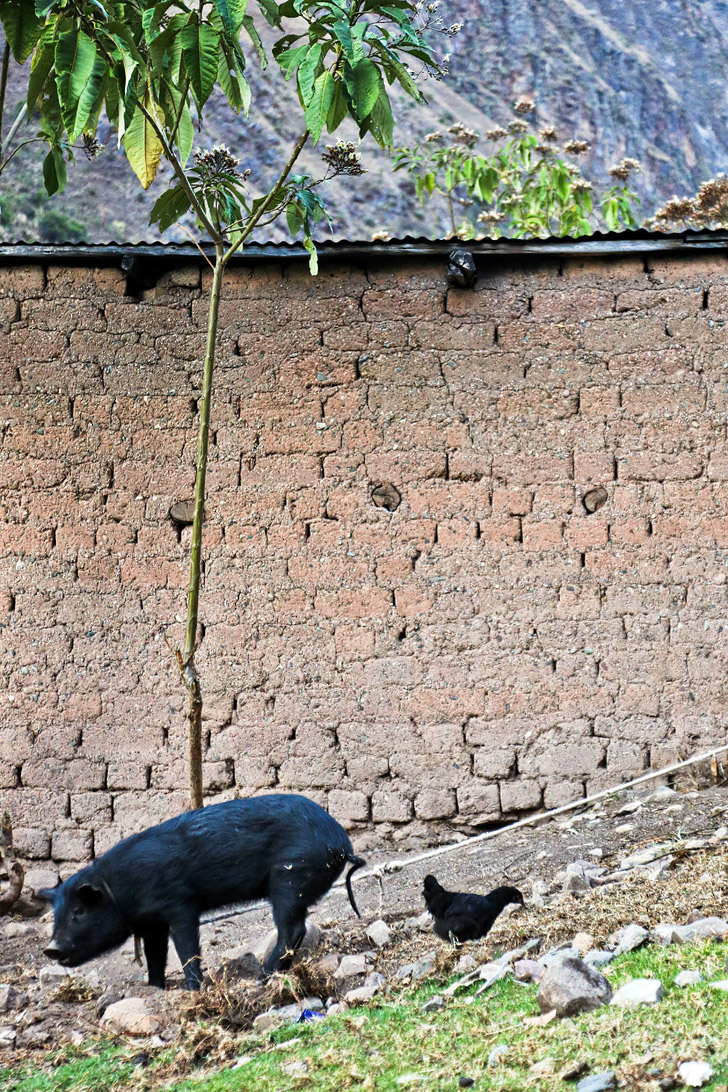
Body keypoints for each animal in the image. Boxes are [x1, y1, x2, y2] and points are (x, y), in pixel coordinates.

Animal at [41, 794, 364, 991]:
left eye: (79, 911)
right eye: (56, 915)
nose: (51, 949)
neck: (118, 888)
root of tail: (342, 844)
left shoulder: (179, 903)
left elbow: (186, 947)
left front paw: (193, 988)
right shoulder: (152, 923)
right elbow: (155, 956)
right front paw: (155, 988)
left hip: (290, 877)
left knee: (292, 929)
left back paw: (261, 978)